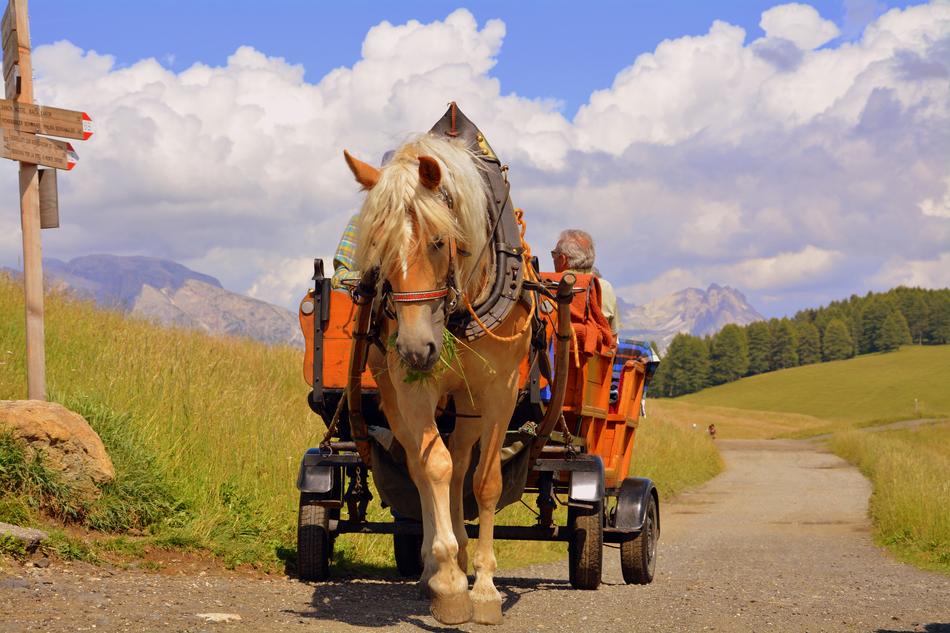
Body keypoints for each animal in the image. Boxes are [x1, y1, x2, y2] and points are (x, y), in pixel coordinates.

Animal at [343, 133, 532, 625]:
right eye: (378, 246)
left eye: (438, 241)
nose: (415, 348)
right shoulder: (413, 389)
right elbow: (434, 468)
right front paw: (447, 580)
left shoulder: (500, 391)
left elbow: (485, 481)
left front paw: (483, 588)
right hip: (394, 393)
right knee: (423, 464)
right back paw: (434, 566)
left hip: (469, 404)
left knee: (464, 459)